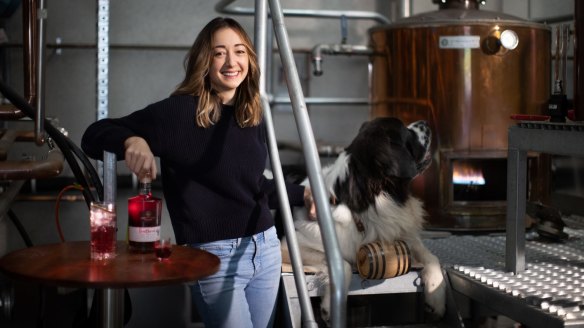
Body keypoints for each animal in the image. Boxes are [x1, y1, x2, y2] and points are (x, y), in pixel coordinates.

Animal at [280, 117, 444, 322]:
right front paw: (329, 306)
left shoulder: (404, 236)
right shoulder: (291, 245)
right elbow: (342, 265)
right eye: (406, 133)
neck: (373, 199)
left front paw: (436, 296)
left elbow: (432, 257)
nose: (425, 122)